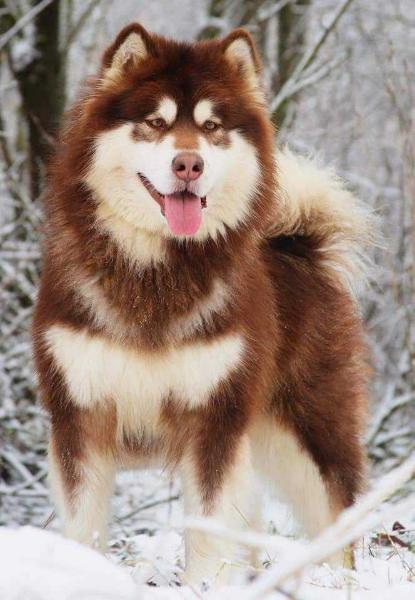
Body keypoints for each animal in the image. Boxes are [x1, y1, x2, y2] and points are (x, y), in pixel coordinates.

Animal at [33, 22, 374, 584]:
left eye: (213, 126)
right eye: (155, 122)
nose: (188, 164)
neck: (155, 274)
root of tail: (296, 244)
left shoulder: (213, 416)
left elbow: (211, 528)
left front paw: (206, 587)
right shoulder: (81, 414)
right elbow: (84, 523)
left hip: (305, 432)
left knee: (336, 517)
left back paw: (342, 582)